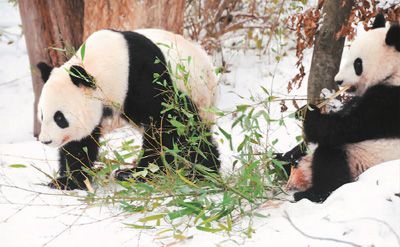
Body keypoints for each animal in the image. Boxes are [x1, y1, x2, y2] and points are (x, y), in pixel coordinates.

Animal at [36, 29, 220, 191]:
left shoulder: (144, 77)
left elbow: (165, 124)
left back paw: (202, 172)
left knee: (192, 133)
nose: (45, 141)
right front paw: (68, 181)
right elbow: (80, 144)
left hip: (195, 94)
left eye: (59, 118)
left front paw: (144, 173)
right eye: (42, 115)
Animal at [286, 14, 400, 203]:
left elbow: (346, 127)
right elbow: (343, 113)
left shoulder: (388, 102)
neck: (394, 72)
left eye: (357, 64)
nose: (338, 81)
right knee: (301, 150)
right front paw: (303, 110)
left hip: (362, 158)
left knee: (330, 158)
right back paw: (278, 160)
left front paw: (310, 114)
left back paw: (311, 194)